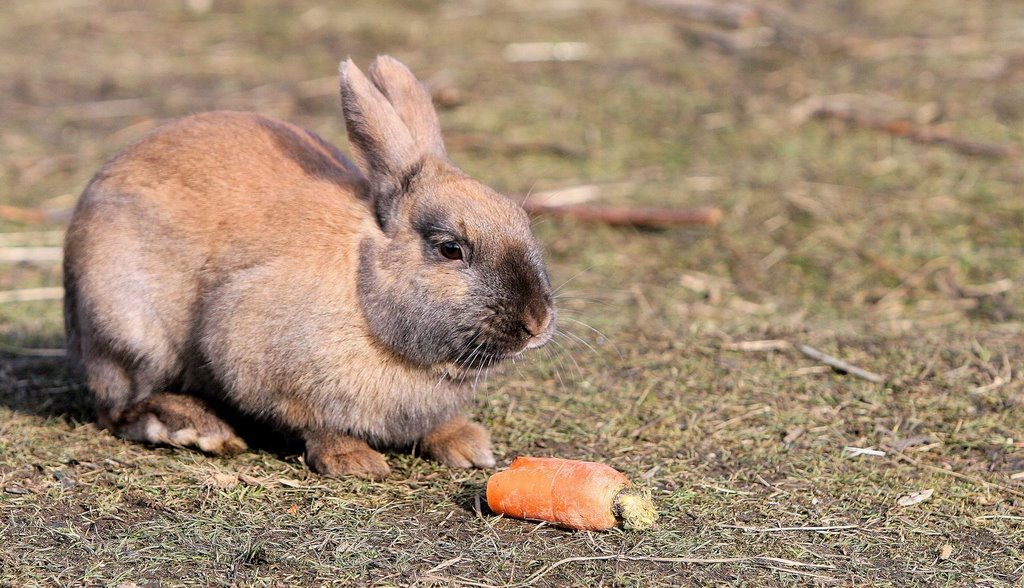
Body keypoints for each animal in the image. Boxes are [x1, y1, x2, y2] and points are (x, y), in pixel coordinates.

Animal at [61, 56, 561, 479]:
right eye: (451, 249)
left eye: (521, 221)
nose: (537, 322)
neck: (364, 287)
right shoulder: (257, 352)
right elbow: (315, 423)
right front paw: (355, 462)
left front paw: (468, 447)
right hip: (129, 329)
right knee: (118, 408)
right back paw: (197, 428)